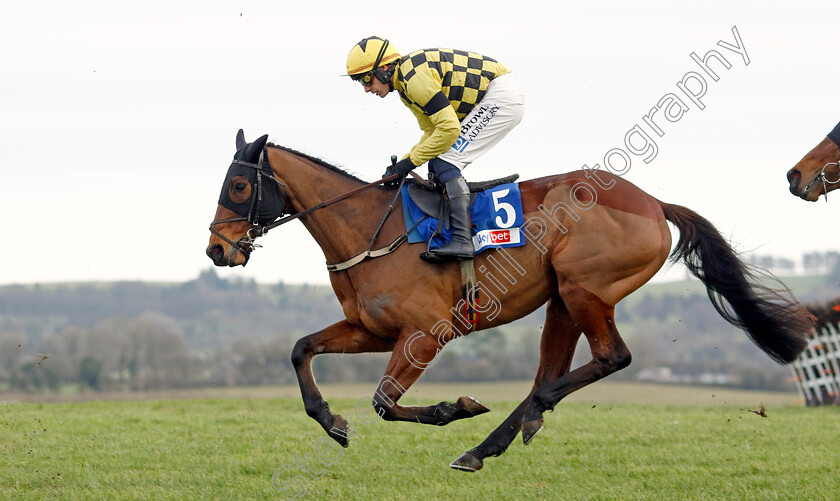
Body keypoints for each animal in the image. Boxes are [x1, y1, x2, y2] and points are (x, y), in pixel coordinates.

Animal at [205, 131, 812, 470]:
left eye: (239, 187)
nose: (217, 249)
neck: (368, 230)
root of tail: (652, 202)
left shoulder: (426, 332)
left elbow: (383, 402)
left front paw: (454, 407)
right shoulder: (371, 330)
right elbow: (301, 349)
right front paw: (331, 421)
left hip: (584, 289)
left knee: (608, 359)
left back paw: (510, 425)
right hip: (562, 302)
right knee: (551, 371)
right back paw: (485, 447)